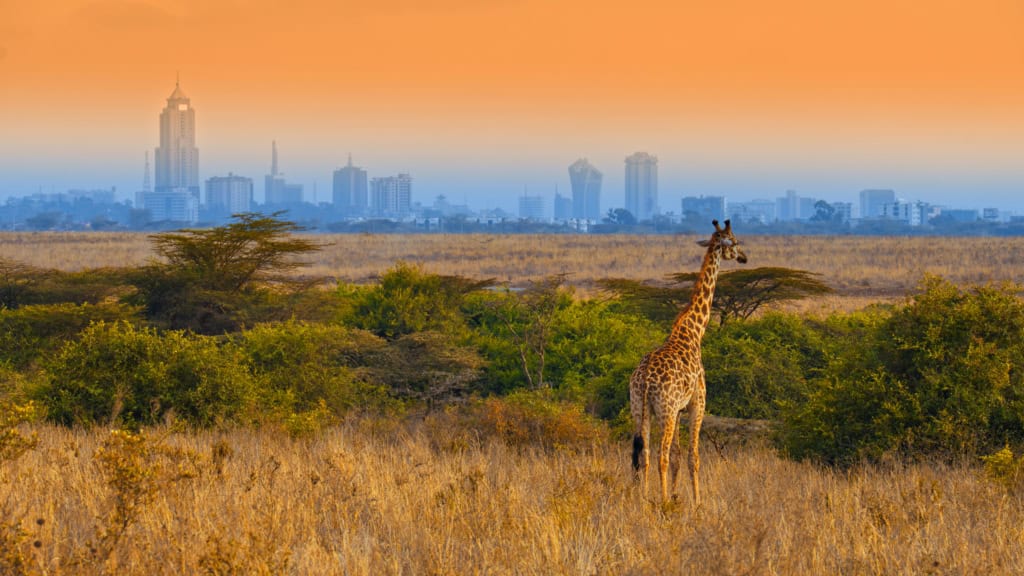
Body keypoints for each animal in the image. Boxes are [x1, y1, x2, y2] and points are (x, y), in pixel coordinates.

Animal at [629, 219, 747, 505]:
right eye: (735, 242)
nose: (744, 257)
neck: (694, 332)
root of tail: (645, 379)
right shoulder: (697, 403)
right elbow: (693, 457)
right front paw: (696, 502)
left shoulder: (680, 409)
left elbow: (678, 458)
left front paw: (676, 495)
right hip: (666, 410)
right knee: (659, 454)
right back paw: (660, 501)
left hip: (640, 409)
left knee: (644, 455)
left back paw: (644, 499)